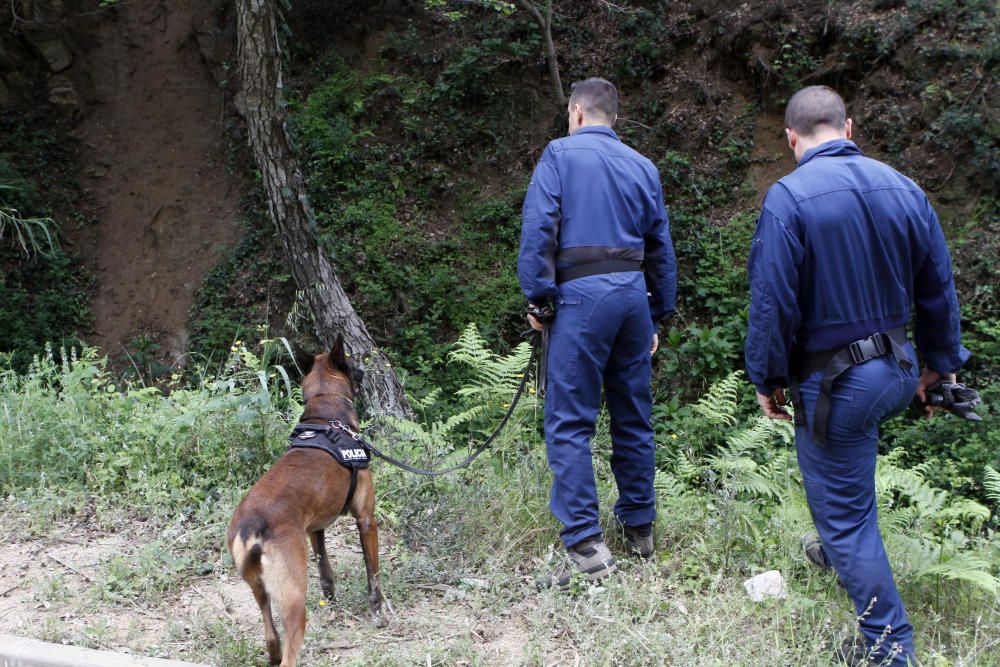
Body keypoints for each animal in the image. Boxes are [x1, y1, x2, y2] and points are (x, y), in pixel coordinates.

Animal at [229, 340, 384, 667]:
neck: (326, 416)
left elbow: (325, 570)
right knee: (288, 652)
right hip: (294, 603)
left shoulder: (315, 529)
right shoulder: (366, 519)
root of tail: (252, 522)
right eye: (350, 362)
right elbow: (373, 575)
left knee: (272, 638)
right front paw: (379, 612)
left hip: (260, 592)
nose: (364, 371)